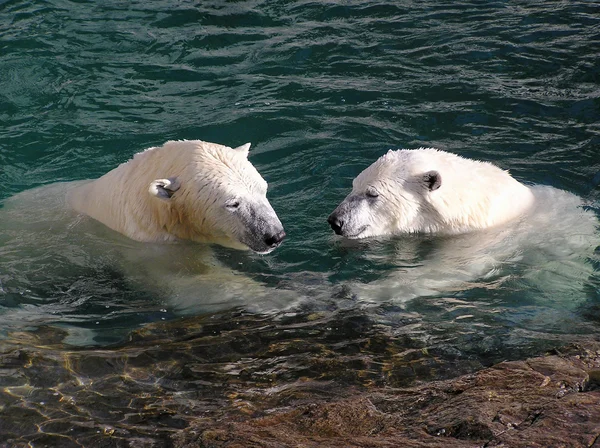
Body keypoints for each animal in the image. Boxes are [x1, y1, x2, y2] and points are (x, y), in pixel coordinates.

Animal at [330, 149, 596, 302]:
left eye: (372, 194)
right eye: (353, 185)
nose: (335, 221)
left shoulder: (479, 236)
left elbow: (444, 271)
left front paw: (355, 290)